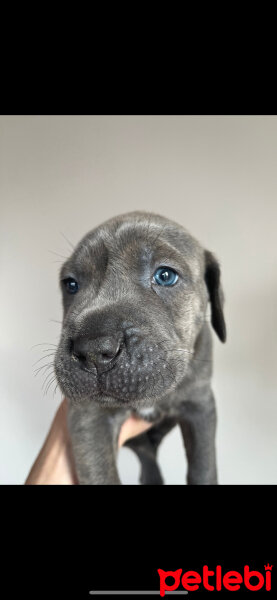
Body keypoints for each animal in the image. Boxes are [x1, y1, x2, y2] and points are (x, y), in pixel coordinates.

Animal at [54, 211, 226, 482]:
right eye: (71, 285)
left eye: (165, 276)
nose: (92, 349)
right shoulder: (88, 417)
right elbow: (100, 473)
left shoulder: (200, 404)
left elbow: (203, 466)